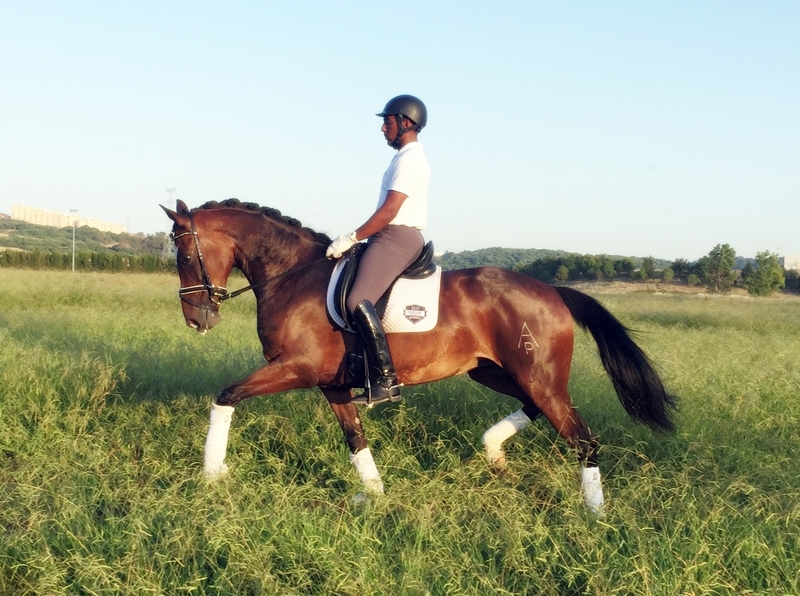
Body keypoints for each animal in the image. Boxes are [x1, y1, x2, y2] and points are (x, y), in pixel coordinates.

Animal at [163, 198, 676, 515]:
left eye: (183, 254)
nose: (195, 319)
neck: (293, 276)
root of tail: (552, 290)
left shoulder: (296, 369)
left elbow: (225, 396)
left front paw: (212, 475)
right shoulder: (332, 384)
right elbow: (355, 439)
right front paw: (373, 496)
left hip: (536, 375)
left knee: (583, 440)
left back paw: (595, 516)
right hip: (495, 372)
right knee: (536, 409)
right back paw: (495, 454)